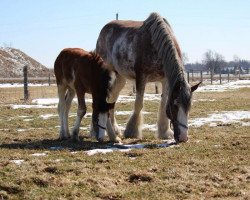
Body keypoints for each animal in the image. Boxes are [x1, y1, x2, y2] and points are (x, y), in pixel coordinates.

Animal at [96, 12, 200, 142]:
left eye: (189, 106)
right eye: (175, 105)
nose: (183, 137)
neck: (156, 46)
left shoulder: (165, 80)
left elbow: (163, 104)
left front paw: (164, 132)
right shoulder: (141, 77)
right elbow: (139, 104)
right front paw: (132, 131)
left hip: (120, 78)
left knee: (112, 99)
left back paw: (115, 130)